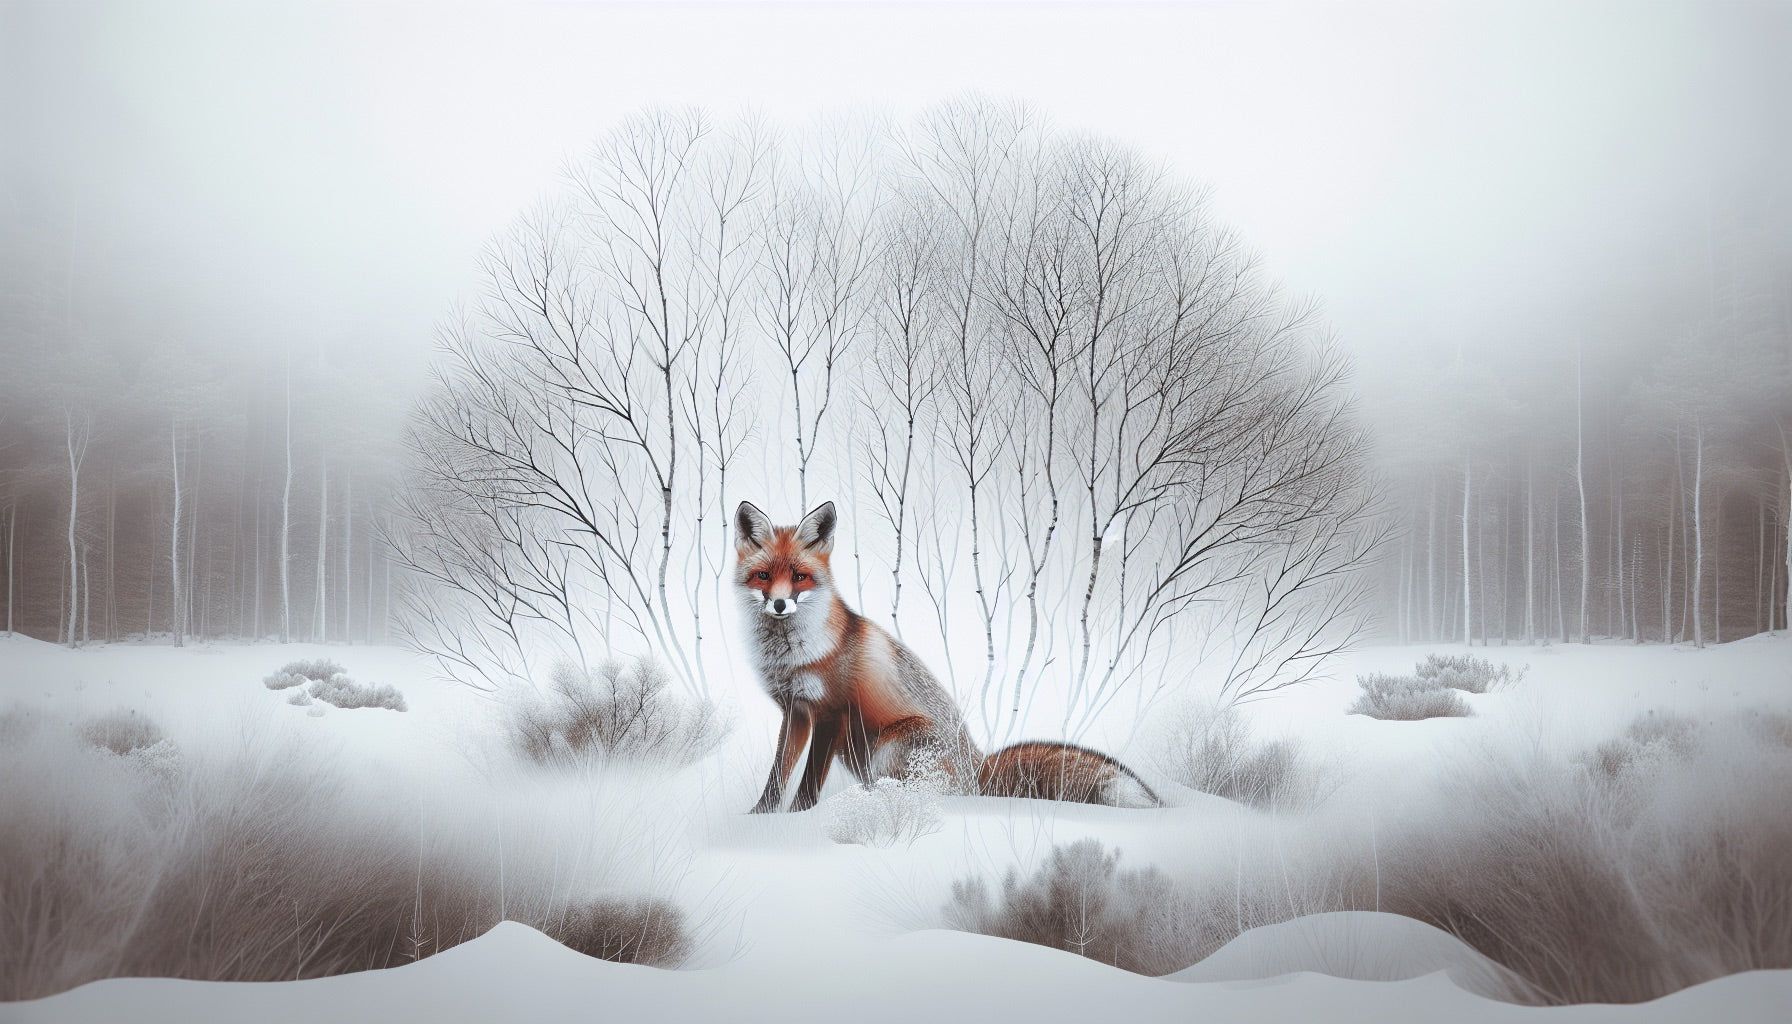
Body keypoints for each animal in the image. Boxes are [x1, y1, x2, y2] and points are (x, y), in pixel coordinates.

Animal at [735, 500, 1160, 813]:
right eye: (763, 576)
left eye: (799, 576)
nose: (779, 604)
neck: (791, 655)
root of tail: (979, 768)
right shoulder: (795, 711)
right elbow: (777, 775)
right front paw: (760, 817)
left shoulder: (831, 712)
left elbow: (808, 782)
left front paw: (798, 819)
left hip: (888, 749)